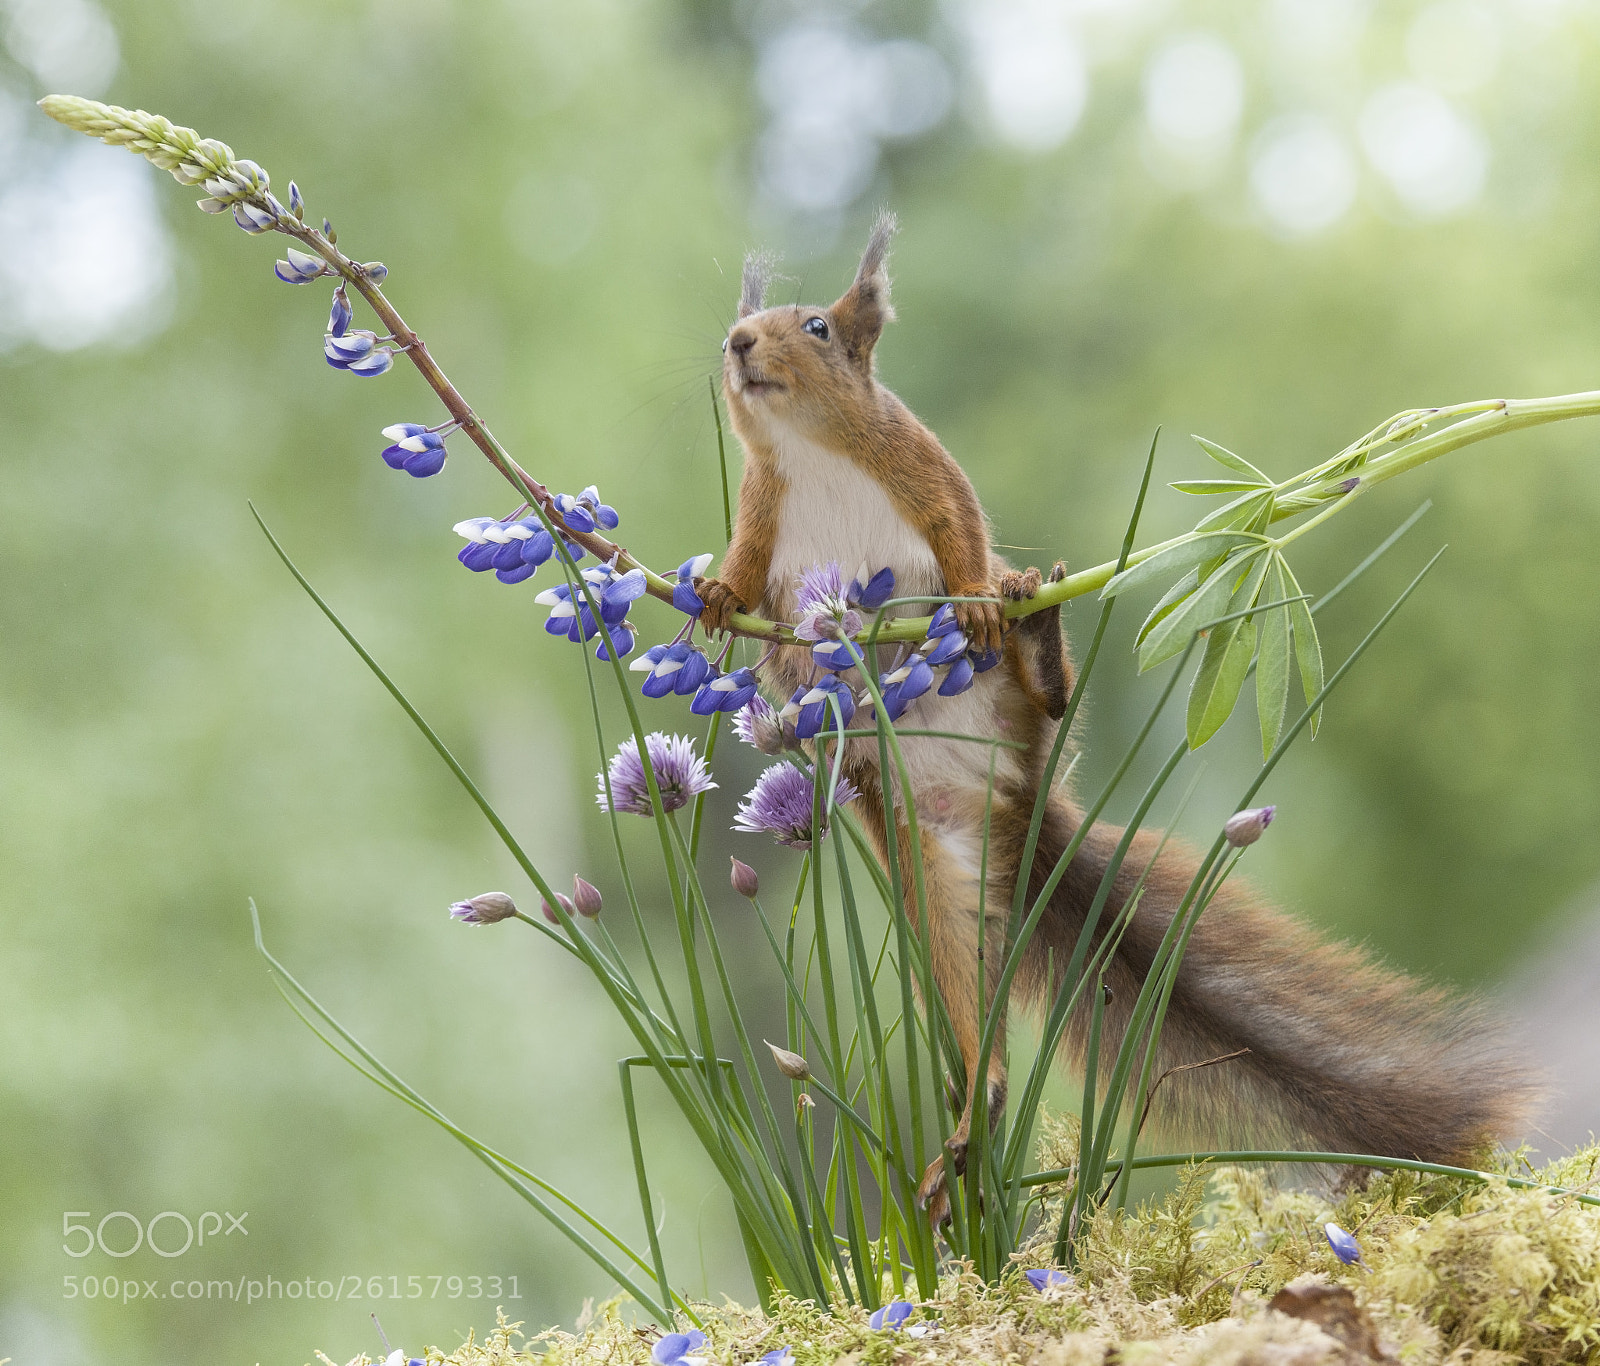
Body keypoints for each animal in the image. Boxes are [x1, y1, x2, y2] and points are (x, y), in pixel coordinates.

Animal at [696, 212, 1536, 1221]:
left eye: (817, 326)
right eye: (741, 328)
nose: (739, 344)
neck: (813, 453)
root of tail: (1010, 808)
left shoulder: (923, 467)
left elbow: (961, 531)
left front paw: (977, 598)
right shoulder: (760, 516)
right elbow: (745, 574)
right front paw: (710, 599)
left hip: (1016, 720)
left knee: (1049, 702)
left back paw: (1033, 632)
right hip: (927, 877)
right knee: (973, 1025)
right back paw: (971, 1123)